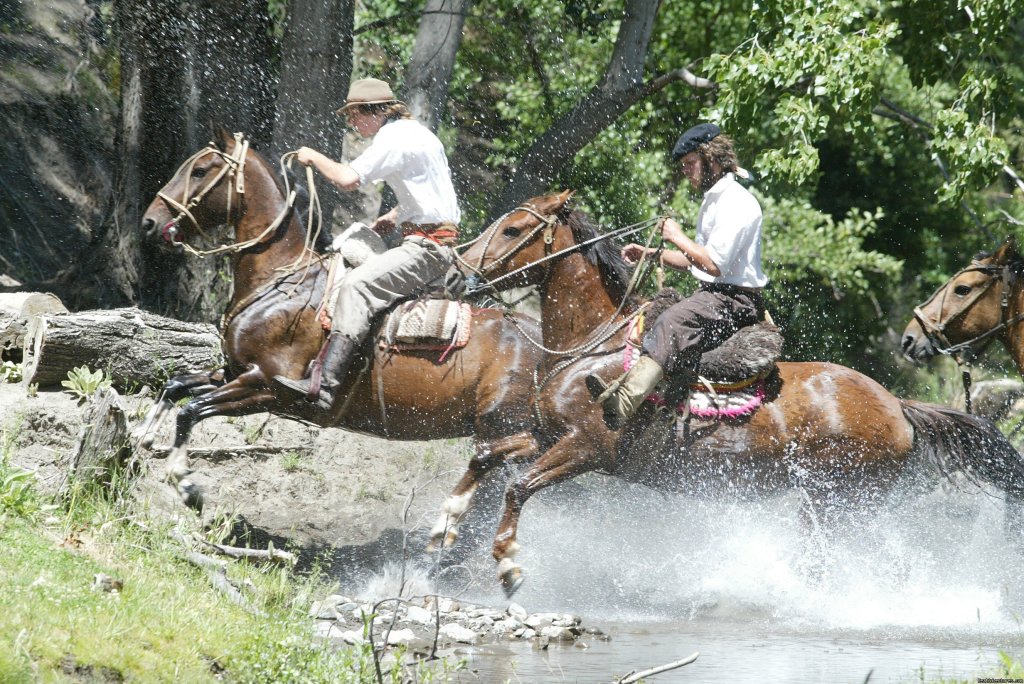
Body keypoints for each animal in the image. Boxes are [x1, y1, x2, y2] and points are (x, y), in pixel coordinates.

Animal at [136, 131, 544, 548]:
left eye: (200, 170)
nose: (150, 222)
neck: (282, 280)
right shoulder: (234, 372)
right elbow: (176, 386)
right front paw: (144, 437)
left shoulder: (265, 386)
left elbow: (191, 409)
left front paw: (185, 481)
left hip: (508, 425)